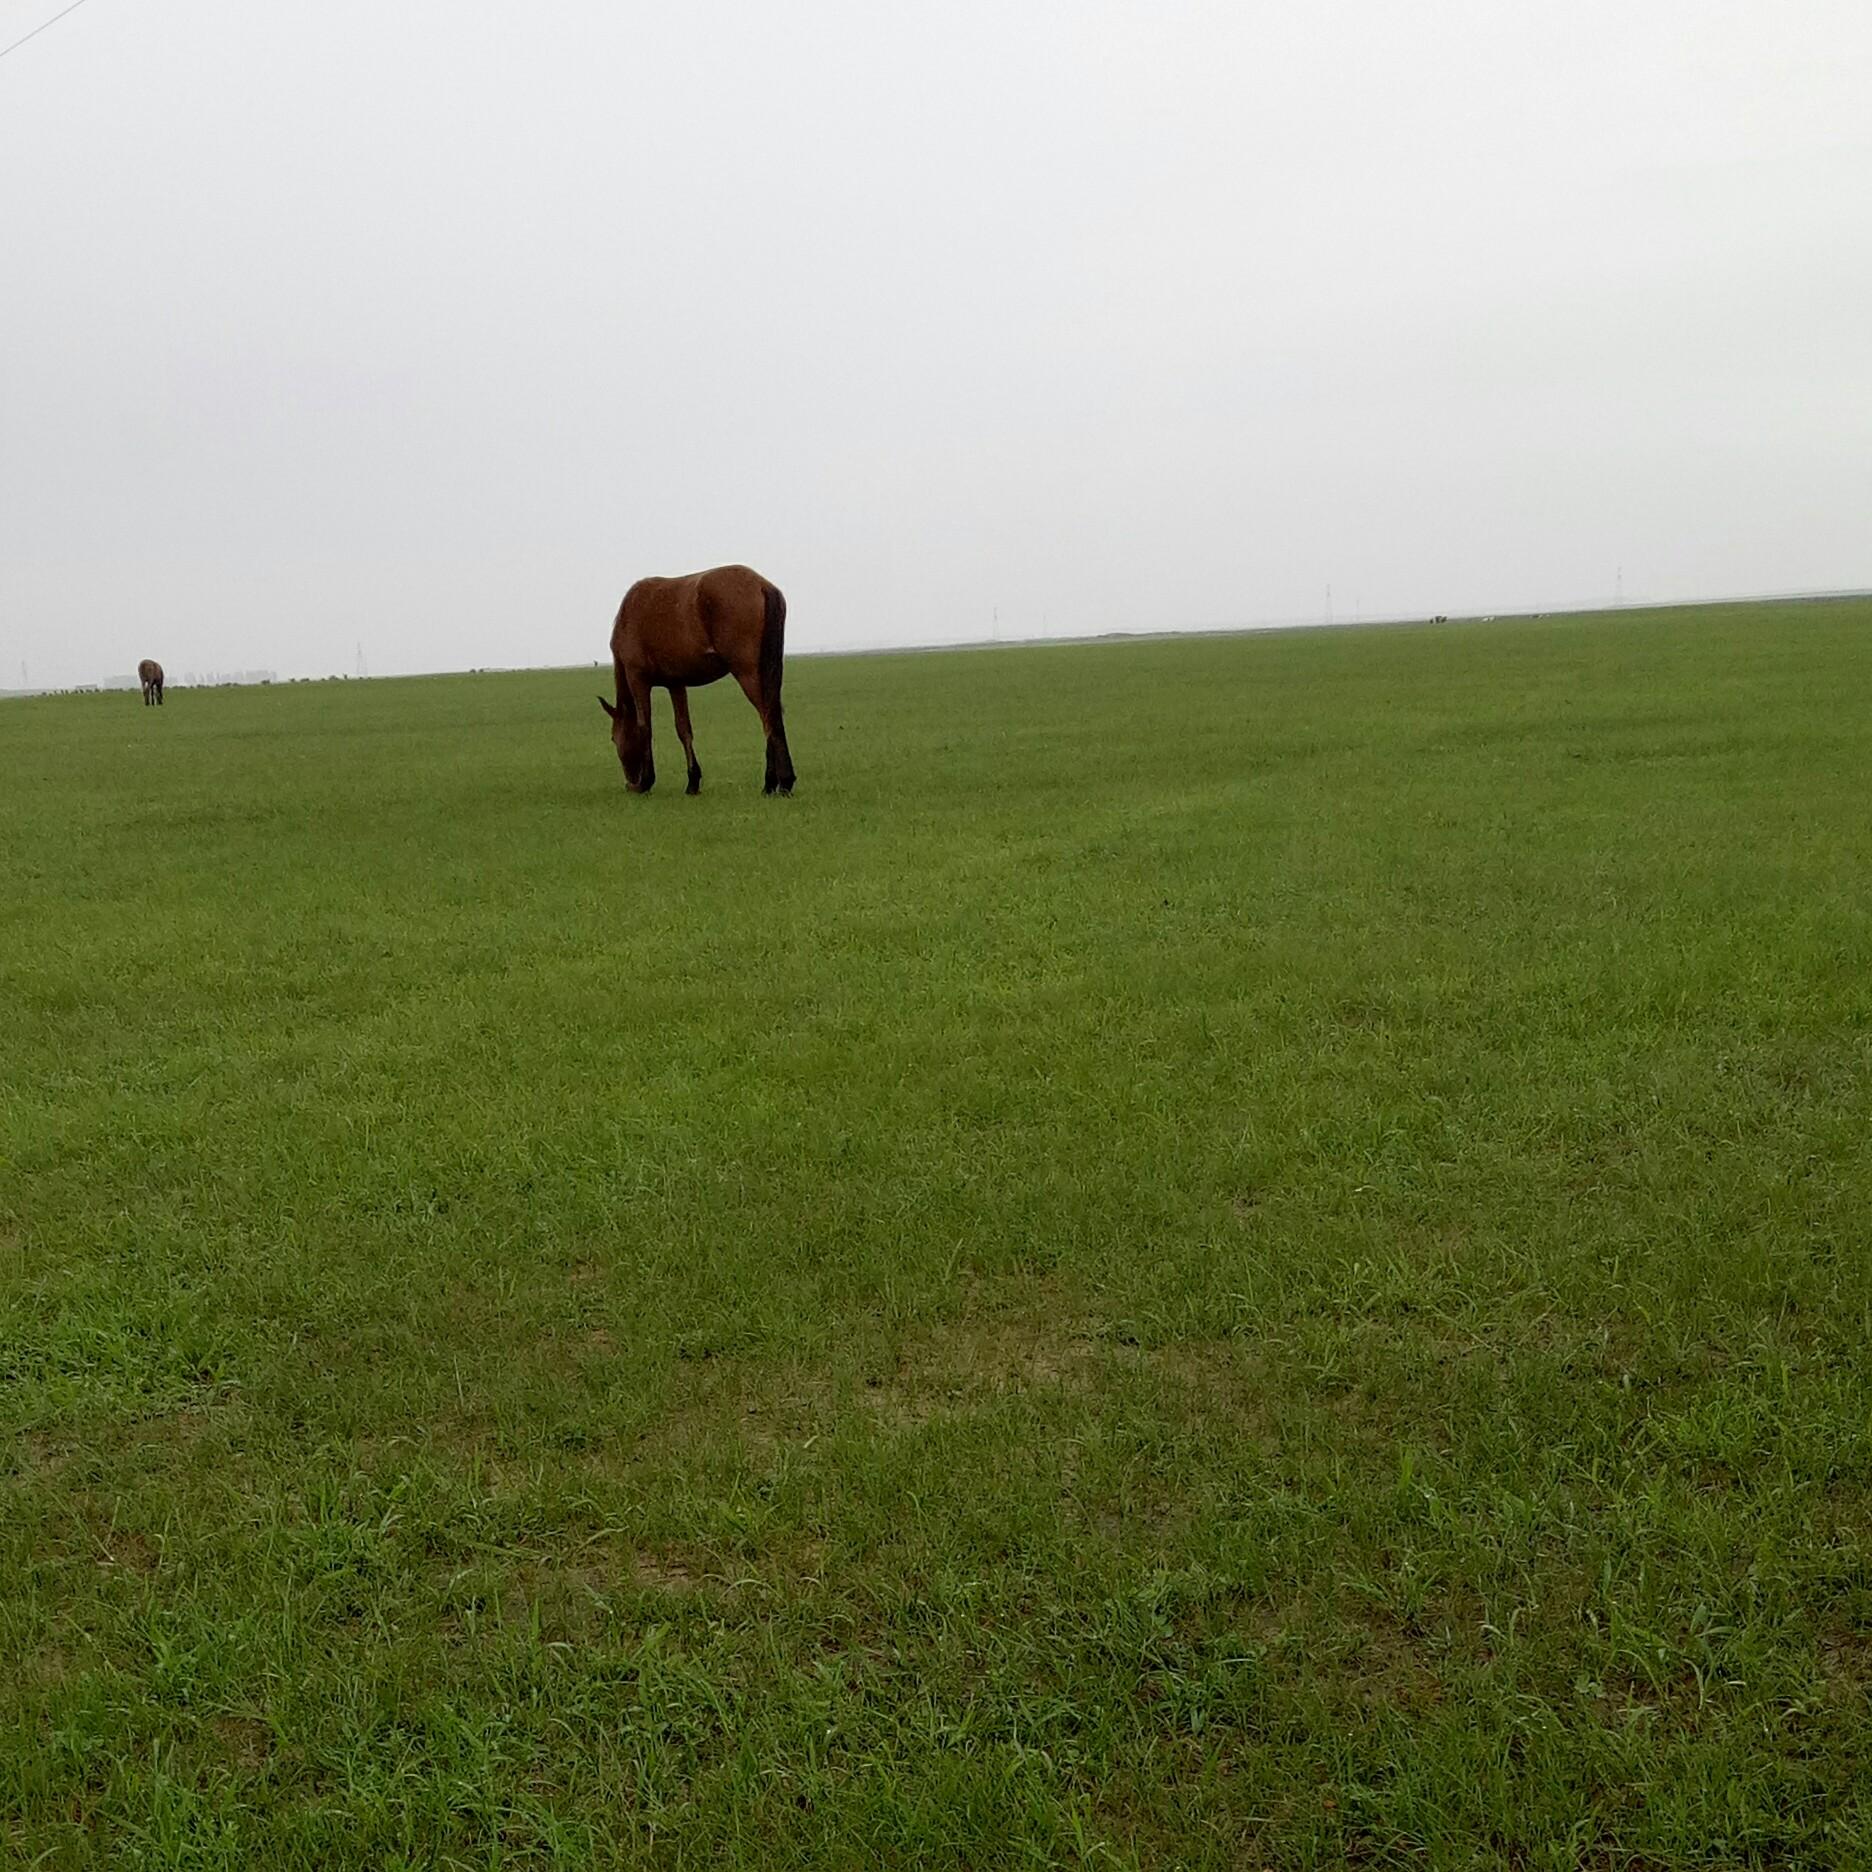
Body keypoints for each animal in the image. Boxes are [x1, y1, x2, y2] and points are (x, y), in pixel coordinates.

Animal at [599, 561, 797, 797]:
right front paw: (692, 781)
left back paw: (780, 782)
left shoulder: (638, 679)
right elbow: (683, 729)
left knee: (768, 717)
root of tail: (761, 585)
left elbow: (644, 726)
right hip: (767, 674)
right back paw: (773, 782)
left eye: (613, 738)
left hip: (748, 673)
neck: (629, 617)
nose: (630, 783)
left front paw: (646, 781)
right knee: (772, 715)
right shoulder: (675, 684)